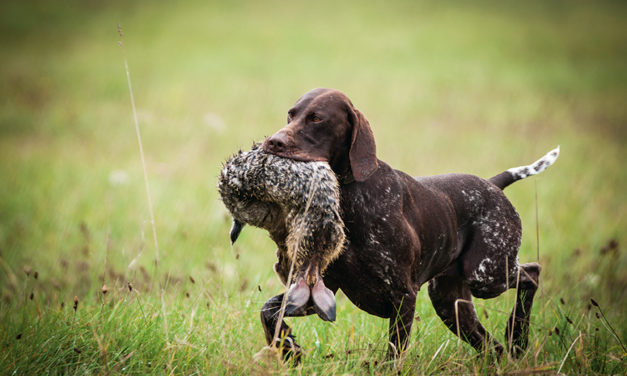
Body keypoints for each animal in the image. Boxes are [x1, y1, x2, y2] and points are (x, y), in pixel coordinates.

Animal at [258, 88, 560, 362]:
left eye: (317, 118)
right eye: (291, 114)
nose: (272, 142)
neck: (351, 195)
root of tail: (493, 185)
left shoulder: (403, 294)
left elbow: (394, 351)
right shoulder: (324, 289)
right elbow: (268, 311)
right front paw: (288, 347)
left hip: (485, 275)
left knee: (532, 273)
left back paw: (517, 336)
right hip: (450, 302)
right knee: (492, 348)